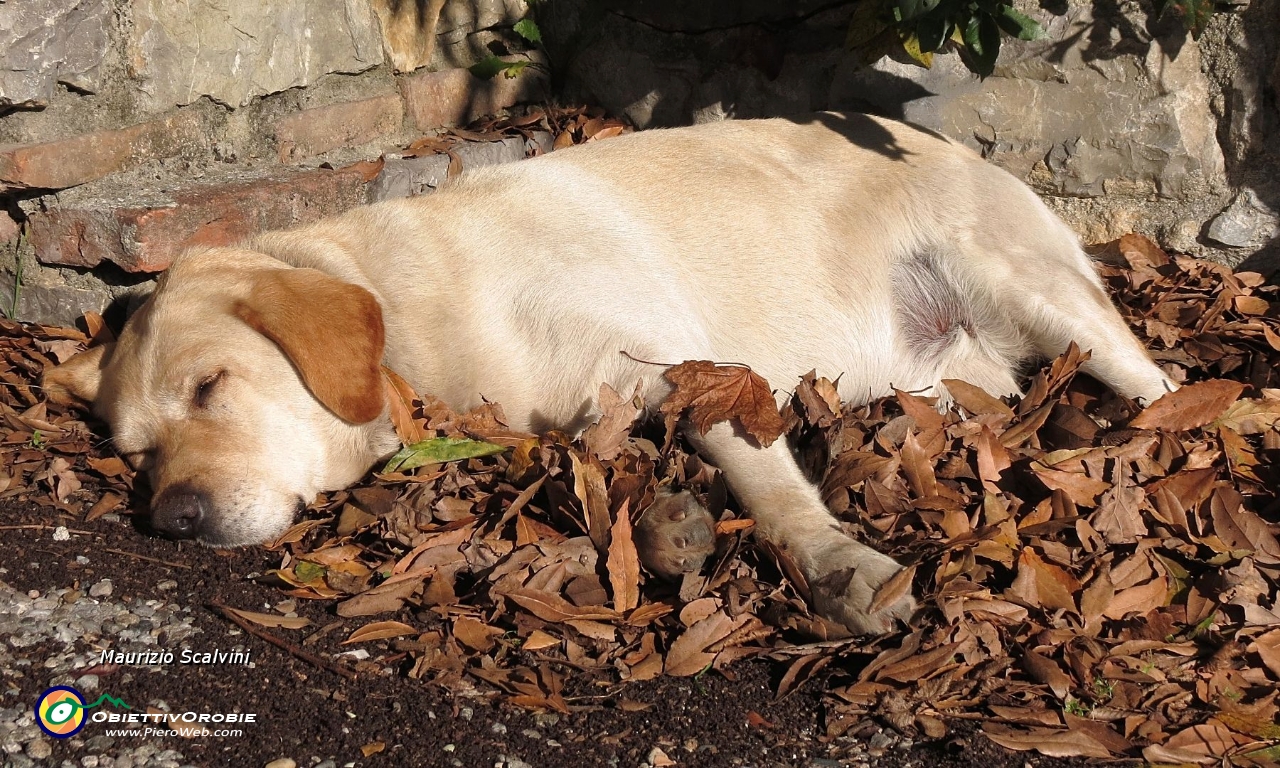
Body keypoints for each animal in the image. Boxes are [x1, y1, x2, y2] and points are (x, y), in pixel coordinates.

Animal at [42, 112, 1177, 629]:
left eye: (211, 387)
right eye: (136, 456)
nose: (173, 519)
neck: (415, 316)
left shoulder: (683, 367)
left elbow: (769, 488)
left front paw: (837, 566)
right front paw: (672, 522)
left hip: (1033, 285)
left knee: (1157, 383)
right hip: (933, 379)